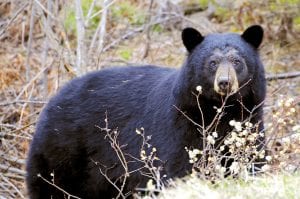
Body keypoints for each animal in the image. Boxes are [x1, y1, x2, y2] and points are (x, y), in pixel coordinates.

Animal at [25, 25, 264, 198]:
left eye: (237, 61)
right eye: (212, 62)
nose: (224, 82)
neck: (217, 111)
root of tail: (52, 100)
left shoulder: (250, 121)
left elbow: (252, 161)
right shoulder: (179, 127)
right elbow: (175, 169)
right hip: (63, 150)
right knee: (51, 185)